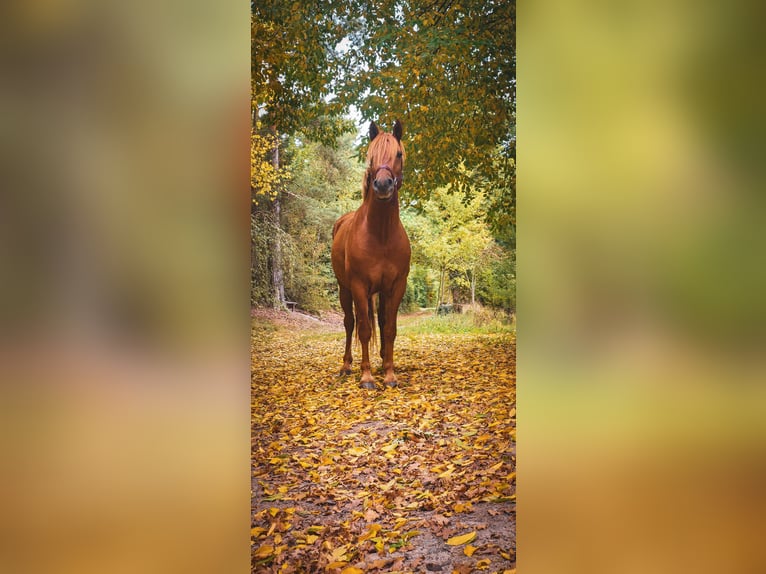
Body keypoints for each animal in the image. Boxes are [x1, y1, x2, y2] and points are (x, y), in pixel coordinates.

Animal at [331, 120, 411, 389]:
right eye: (371, 155)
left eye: (398, 154)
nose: (383, 185)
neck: (381, 234)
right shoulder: (358, 285)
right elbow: (364, 329)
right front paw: (366, 377)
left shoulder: (396, 286)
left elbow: (389, 329)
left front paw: (389, 374)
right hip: (345, 290)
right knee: (350, 323)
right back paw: (347, 365)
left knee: (381, 322)